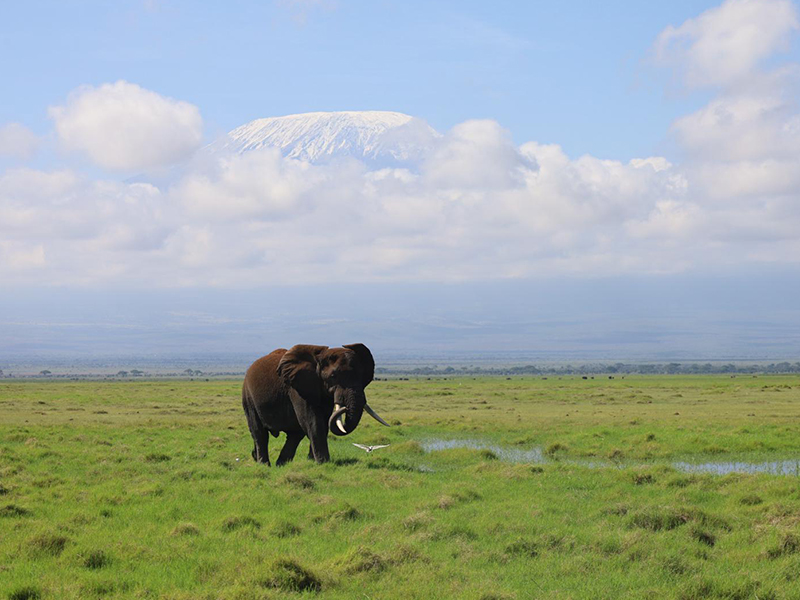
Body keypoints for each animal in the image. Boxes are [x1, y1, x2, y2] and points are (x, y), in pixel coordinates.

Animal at [241, 343, 390, 465]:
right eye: (333, 376)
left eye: (362, 376)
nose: (344, 407)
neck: (320, 357)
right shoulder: (297, 387)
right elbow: (313, 420)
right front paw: (323, 463)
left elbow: (324, 421)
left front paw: (314, 462)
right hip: (248, 397)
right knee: (259, 432)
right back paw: (263, 464)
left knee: (294, 435)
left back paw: (280, 464)